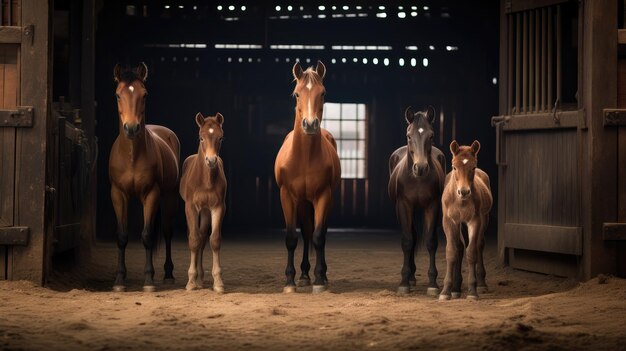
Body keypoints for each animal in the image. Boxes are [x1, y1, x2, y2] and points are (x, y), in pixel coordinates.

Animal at [107, 62, 179, 292]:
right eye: (117, 95)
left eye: (144, 94)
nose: (131, 128)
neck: (131, 156)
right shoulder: (118, 195)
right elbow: (122, 236)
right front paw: (119, 280)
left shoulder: (152, 194)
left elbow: (147, 236)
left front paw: (148, 281)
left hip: (169, 196)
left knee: (167, 231)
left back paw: (167, 274)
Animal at [179, 113, 225, 294]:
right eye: (201, 138)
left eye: (220, 137)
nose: (211, 160)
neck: (205, 180)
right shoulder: (191, 207)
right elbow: (193, 240)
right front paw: (191, 281)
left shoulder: (218, 207)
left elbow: (214, 240)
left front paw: (218, 282)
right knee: (195, 236)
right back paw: (196, 279)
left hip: (205, 211)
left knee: (203, 237)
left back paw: (201, 278)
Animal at [274, 61, 338, 294]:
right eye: (297, 94)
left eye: (323, 93)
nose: (310, 124)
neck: (304, 158)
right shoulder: (287, 197)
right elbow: (292, 237)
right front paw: (290, 281)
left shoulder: (323, 196)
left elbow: (319, 236)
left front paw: (319, 279)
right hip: (302, 203)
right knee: (306, 233)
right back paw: (303, 275)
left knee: (318, 233)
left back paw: (320, 274)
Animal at [388, 106, 446, 296]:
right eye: (409, 136)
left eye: (431, 135)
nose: (420, 168)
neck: (417, 179)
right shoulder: (404, 206)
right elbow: (407, 241)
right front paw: (404, 283)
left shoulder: (433, 206)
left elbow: (431, 241)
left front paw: (433, 284)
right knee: (412, 236)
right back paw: (411, 278)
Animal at [438, 140, 492, 300]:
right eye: (454, 167)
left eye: (473, 167)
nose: (463, 192)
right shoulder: (449, 221)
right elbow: (452, 251)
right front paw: (445, 291)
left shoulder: (475, 221)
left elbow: (472, 252)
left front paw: (472, 291)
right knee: (460, 246)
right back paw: (456, 288)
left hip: (485, 218)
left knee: (480, 245)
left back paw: (481, 284)